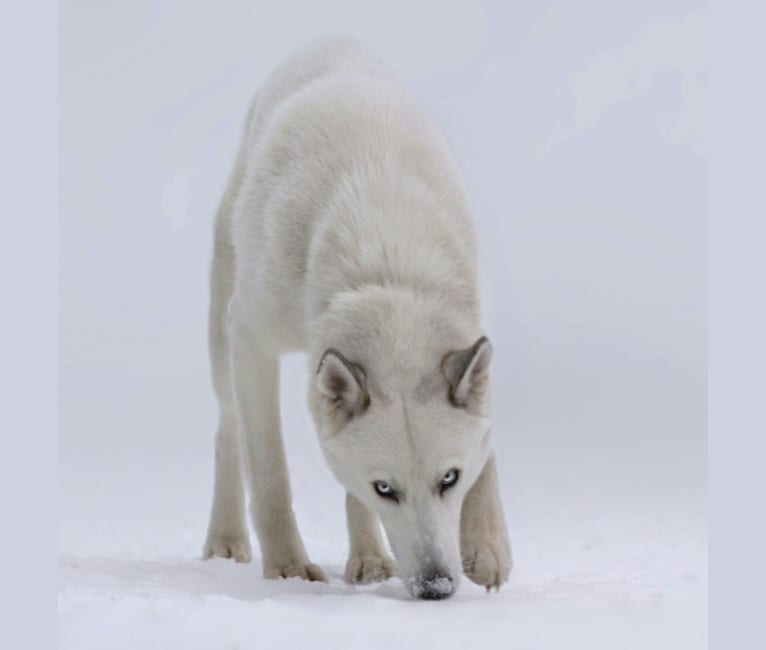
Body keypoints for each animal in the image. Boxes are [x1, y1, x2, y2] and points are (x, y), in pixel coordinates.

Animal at [204, 38, 512, 600]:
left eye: (450, 479)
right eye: (385, 488)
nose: (436, 587)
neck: (384, 257)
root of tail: (328, 39)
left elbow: (486, 442)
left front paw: (487, 547)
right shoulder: (251, 338)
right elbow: (270, 472)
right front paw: (287, 568)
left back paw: (369, 561)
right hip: (222, 333)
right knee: (229, 429)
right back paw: (226, 539)